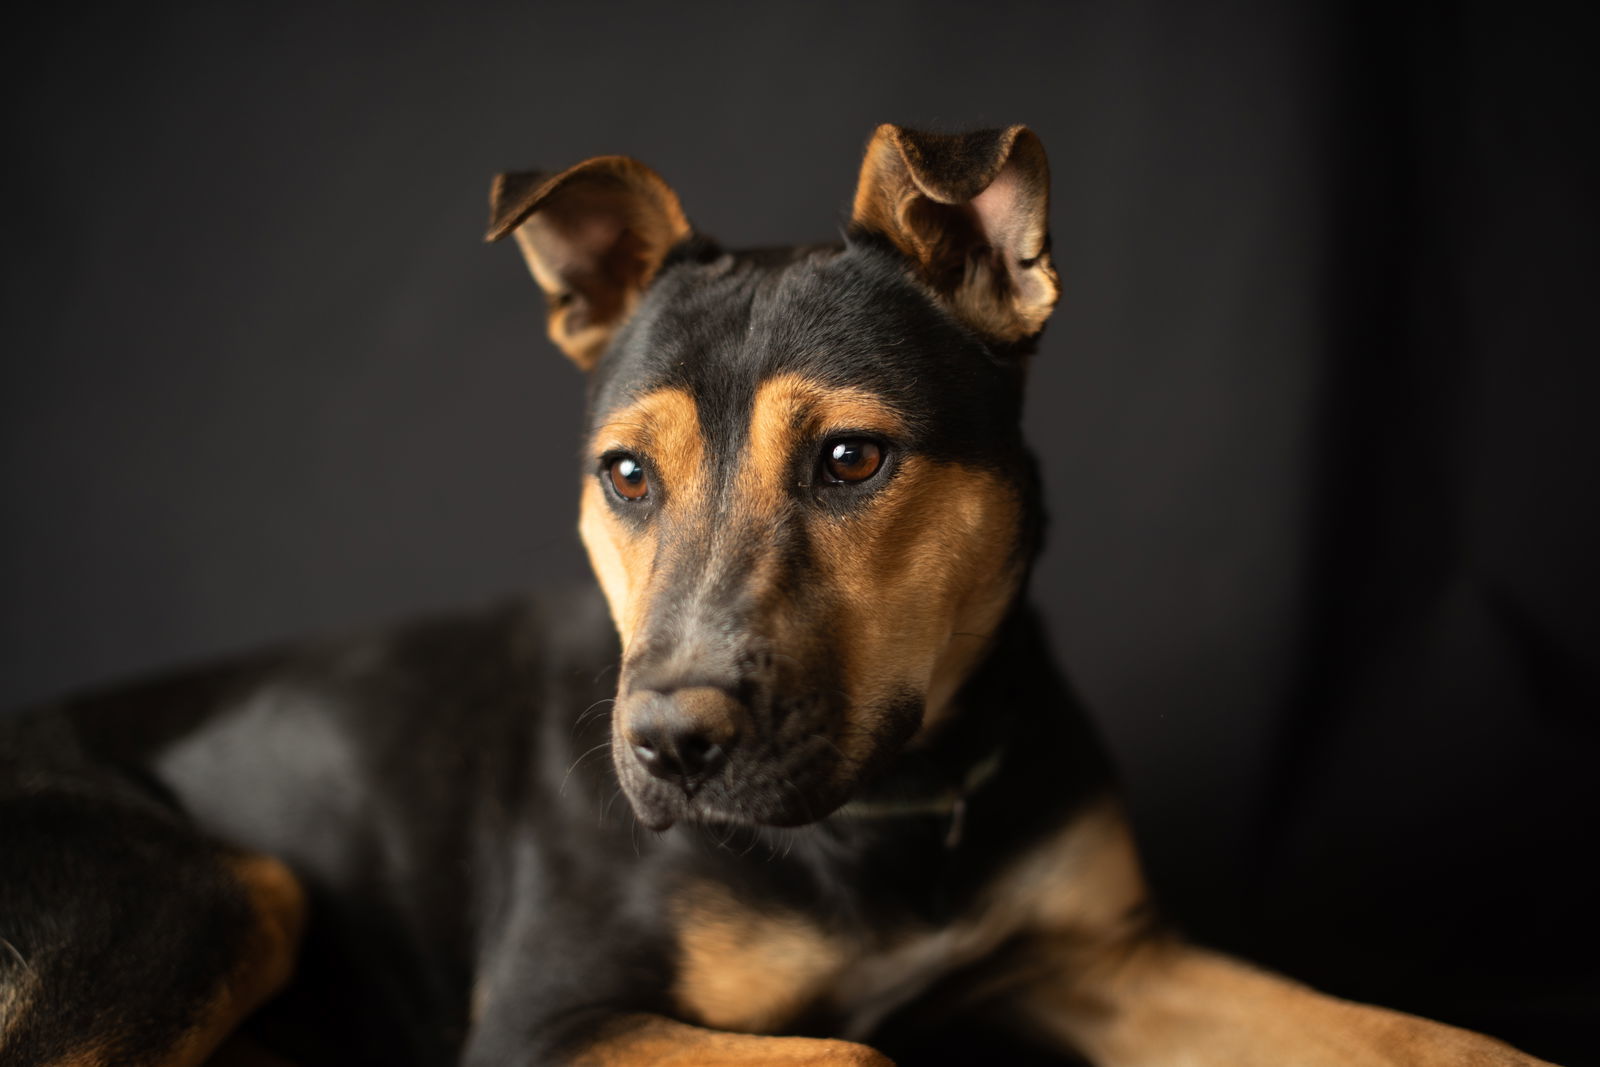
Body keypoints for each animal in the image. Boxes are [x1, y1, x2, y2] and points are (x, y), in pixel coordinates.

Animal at [0, 127, 1555, 1067]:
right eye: (627, 475)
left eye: (852, 457)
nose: (668, 747)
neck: (888, 805)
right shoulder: (551, 1021)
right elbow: (851, 1048)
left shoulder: (1109, 956)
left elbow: (1415, 1032)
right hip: (215, 885)